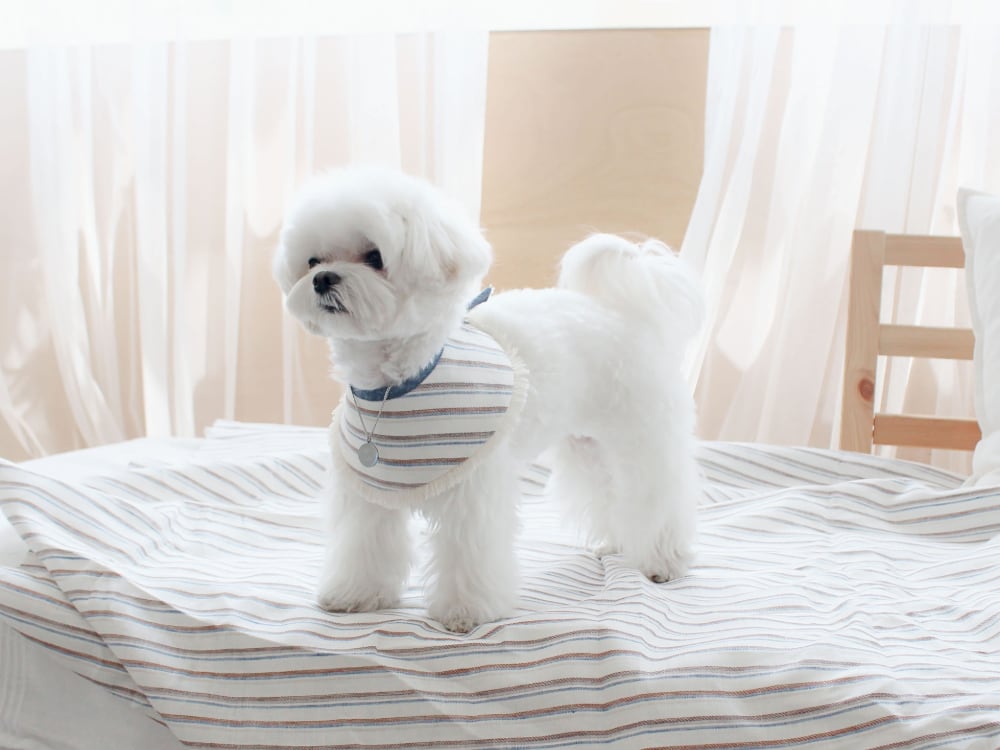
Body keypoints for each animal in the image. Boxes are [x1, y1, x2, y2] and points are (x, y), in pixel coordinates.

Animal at [273, 166, 704, 633]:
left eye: (374, 257)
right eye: (313, 261)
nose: (322, 279)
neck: (398, 382)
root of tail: (623, 314)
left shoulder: (472, 490)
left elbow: (468, 551)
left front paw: (466, 611)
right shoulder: (369, 490)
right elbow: (364, 542)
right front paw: (357, 594)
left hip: (642, 432)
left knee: (657, 492)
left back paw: (662, 559)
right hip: (588, 444)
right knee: (608, 489)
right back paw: (618, 541)